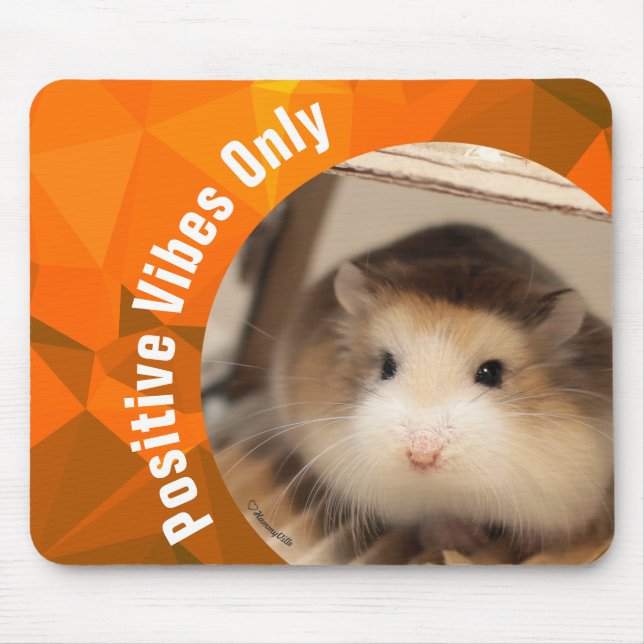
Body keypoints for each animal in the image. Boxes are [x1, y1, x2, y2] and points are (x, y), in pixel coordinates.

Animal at [269, 224, 613, 558]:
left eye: (491, 373)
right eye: (386, 366)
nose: (422, 455)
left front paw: (526, 545)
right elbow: (434, 517)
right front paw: (463, 542)